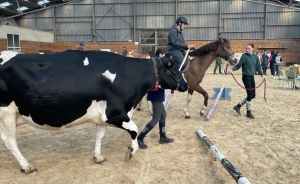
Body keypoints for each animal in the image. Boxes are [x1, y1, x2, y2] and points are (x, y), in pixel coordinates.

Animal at [0, 50, 188, 172]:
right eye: (175, 69)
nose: (185, 85)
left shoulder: (102, 117)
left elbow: (100, 136)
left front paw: (99, 157)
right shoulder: (114, 113)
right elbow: (134, 130)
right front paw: (131, 152)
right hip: (7, 112)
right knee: (10, 141)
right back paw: (26, 166)